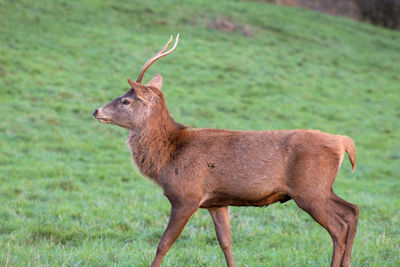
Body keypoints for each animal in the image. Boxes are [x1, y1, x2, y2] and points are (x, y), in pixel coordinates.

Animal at [93, 34, 360, 266]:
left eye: (126, 100)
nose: (96, 110)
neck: (168, 158)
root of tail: (343, 142)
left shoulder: (186, 196)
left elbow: (163, 244)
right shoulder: (216, 201)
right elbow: (226, 243)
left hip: (309, 190)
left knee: (338, 227)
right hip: (322, 188)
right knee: (352, 211)